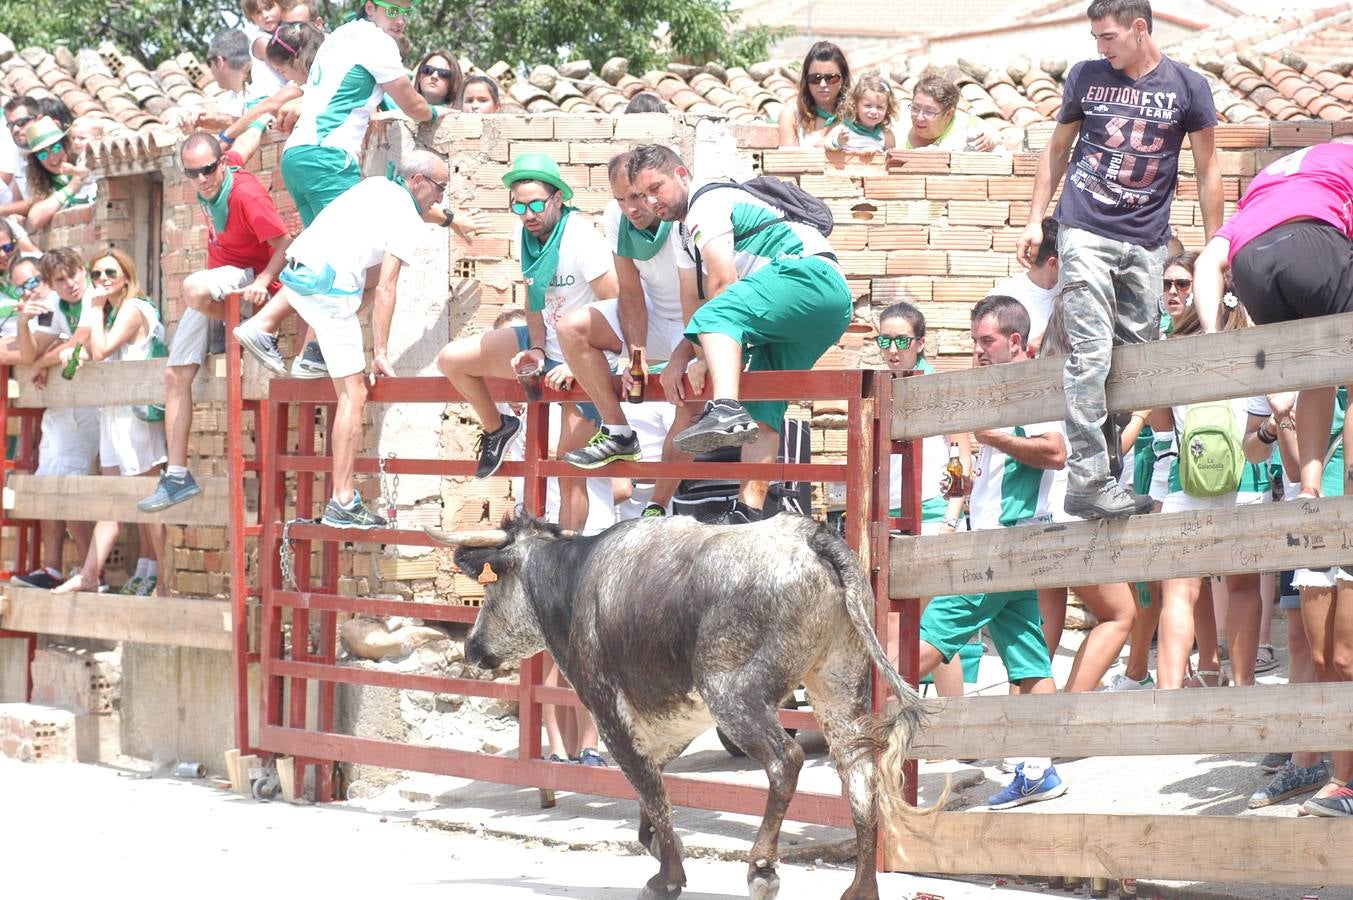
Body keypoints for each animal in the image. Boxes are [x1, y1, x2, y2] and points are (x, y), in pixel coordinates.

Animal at [432, 511, 930, 898]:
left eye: (491, 589)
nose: (472, 647)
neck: (574, 584)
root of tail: (809, 535)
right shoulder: (670, 723)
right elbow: (651, 795)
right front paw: (657, 848)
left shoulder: (609, 711)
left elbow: (650, 789)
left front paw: (667, 876)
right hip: (839, 686)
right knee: (859, 772)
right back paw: (860, 889)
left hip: (732, 692)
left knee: (785, 759)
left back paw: (762, 867)